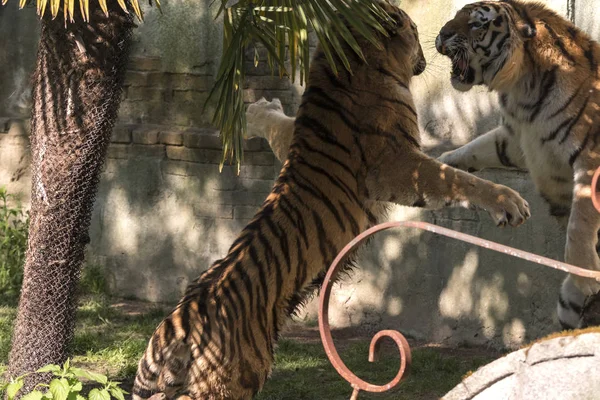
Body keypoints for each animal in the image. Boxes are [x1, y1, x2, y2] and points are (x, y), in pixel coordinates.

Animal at [132, 3, 528, 400]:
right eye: (414, 29)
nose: (429, 47)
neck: (341, 64)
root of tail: (171, 336)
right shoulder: (397, 164)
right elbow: (454, 180)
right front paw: (508, 201)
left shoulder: (294, 140)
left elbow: (278, 124)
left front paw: (259, 109)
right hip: (231, 381)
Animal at [434, 0, 600, 330]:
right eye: (455, 16)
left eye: (476, 24)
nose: (443, 34)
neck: (521, 88)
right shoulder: (516, 138)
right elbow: (476, 146)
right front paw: (445, 163)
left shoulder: (591, 157)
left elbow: (580, 221)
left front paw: (583, 277)